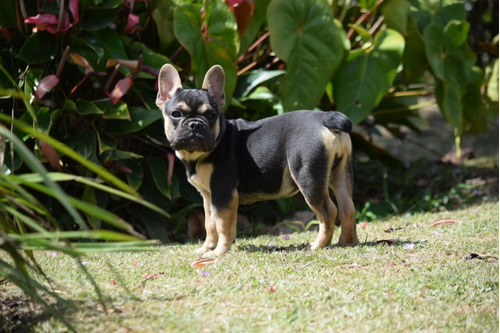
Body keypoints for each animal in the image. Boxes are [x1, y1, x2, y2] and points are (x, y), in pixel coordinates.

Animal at [156, 63, 360, 255]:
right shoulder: (208, 197)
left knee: (329, 211)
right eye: (176, 114)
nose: (195, 124)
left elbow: (223, 226)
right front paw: (206, 249)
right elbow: (210, 224)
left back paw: (319, 245)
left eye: (211, 115)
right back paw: (347, 242)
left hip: (309, 178)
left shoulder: (223, 194)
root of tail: (325, 117)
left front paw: (218, 253)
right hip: (340, 174)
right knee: (348, 208)